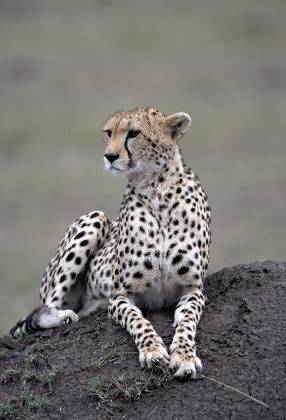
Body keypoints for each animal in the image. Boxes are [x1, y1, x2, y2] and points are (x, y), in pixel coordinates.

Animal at [10, 107, 210, 378]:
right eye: (108, 133)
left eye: (134, 133)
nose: (110, 156)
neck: (157, 190)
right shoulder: (120, 295)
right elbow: (138, 322)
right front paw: (153, 351)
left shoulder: (192, 288)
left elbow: (188, 321)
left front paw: (185, 356)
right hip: (94, 219)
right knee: (45, 308)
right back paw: (63, 317)